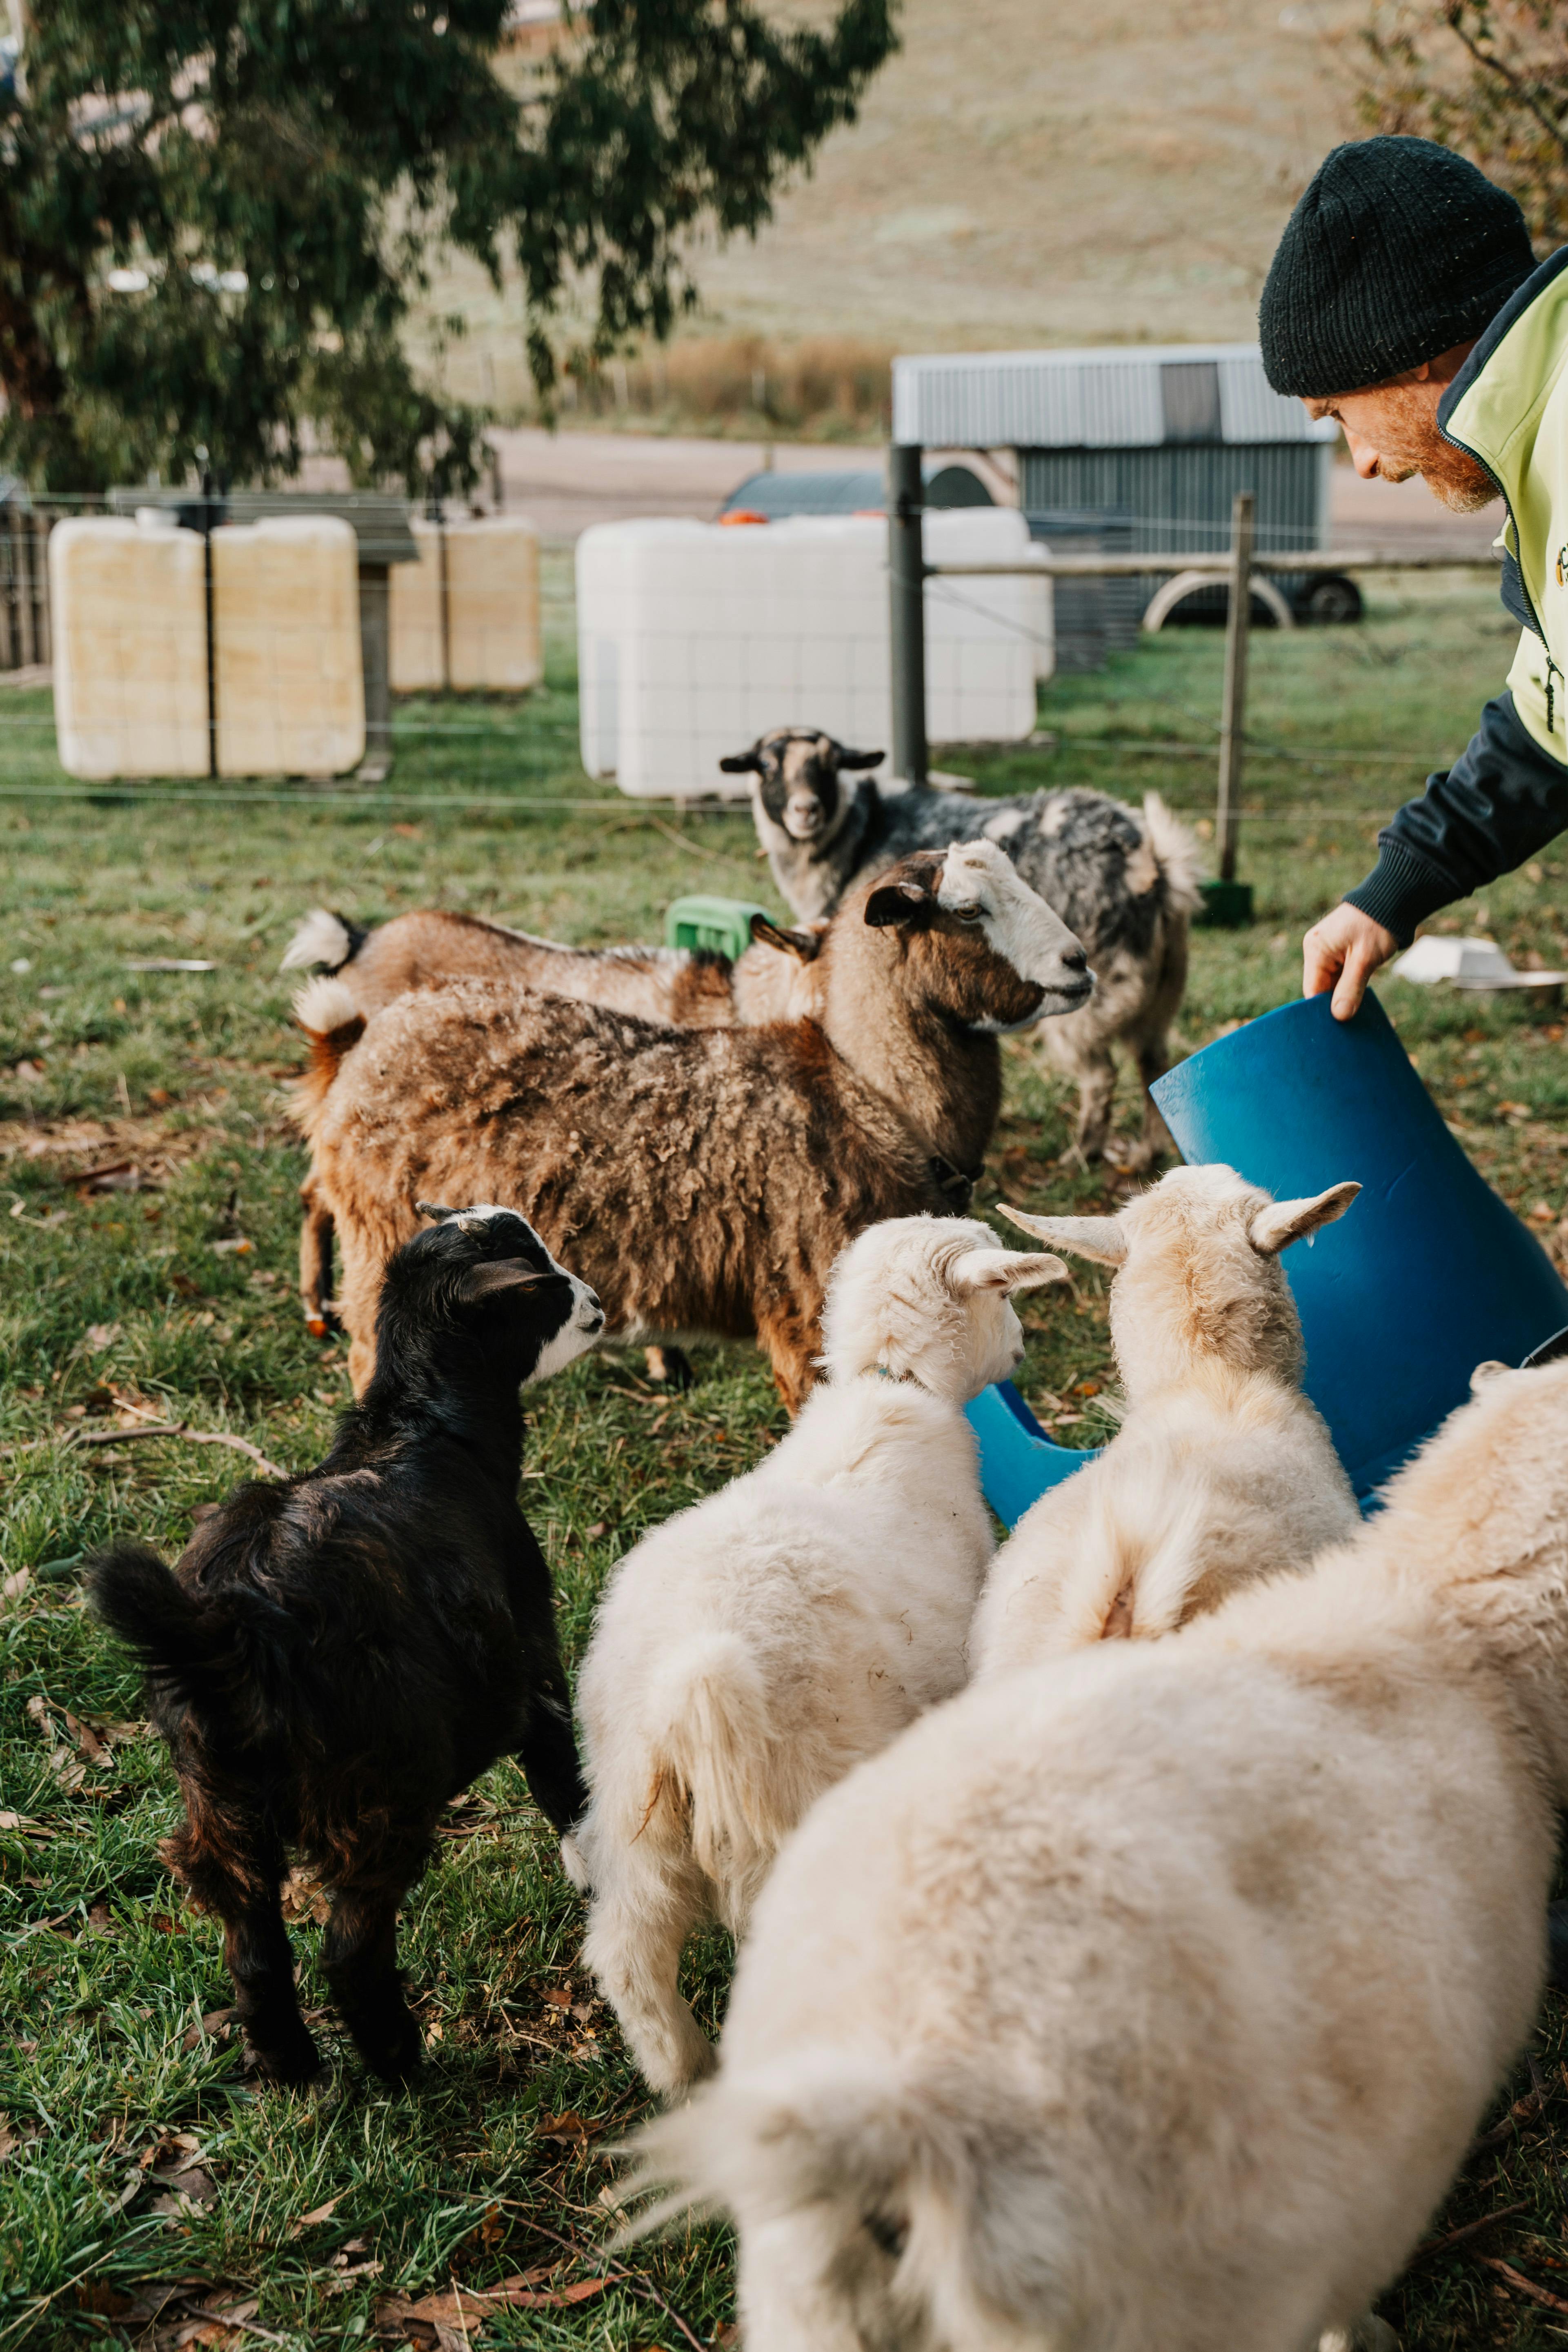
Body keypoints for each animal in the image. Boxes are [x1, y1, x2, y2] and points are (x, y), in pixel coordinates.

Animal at [88, 1207, 602, 2087]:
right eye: (540, 1280)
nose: (598, 1303)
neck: (430, 1426)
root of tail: (234, 1630)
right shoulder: (533, 1673)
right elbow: (565, 1788)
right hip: (378, 1786)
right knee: (351, 1947)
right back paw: (403, 2067)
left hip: (217, 1797)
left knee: (254, 1943)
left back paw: (291, 2068)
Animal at [568, 1215, 1068, 2095]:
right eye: (1004, 1293)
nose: (1020, 1350)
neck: (896, 1384)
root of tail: (690, 1686)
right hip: (798, 1793)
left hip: (633, 1810)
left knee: (628, 1952)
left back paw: (682, 2074)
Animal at [720, 726, 1205, 1167]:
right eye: (766, 766)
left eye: (829, 764)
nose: (806, 811)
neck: (857, 833)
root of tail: (1153, 865)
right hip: (1161, 991)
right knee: (1155, 1064)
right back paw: (1146, 1154)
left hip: (1096, 999)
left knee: (1102, 1074)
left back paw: (1081, 1153)